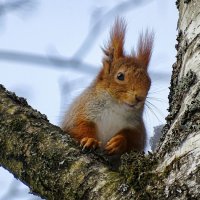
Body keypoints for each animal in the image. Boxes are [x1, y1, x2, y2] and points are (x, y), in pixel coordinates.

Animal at [61, 18, 154, 155]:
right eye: (120, 76)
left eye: (149, 82)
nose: (140, 97)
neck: (116, 108)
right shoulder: (81, 111)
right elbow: (78, 127)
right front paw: (89, 140)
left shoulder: (136, 128)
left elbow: (134, 141)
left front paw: (118, 142)